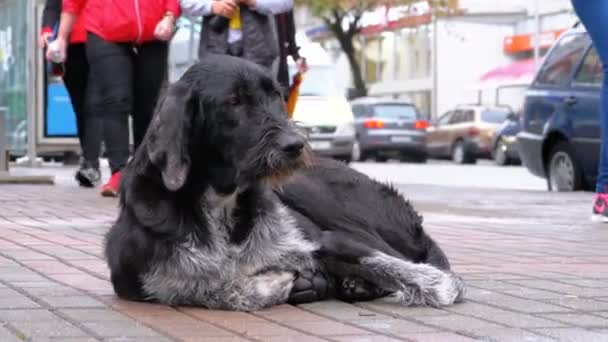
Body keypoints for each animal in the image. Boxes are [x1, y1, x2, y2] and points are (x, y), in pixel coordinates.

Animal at [104, 54, 466, 310]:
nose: (296, 145)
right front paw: (274, 283)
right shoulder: (136, 275)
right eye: (234, 102)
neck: (222, 206)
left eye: (276, 95)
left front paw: (439, 286)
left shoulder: (324, 239)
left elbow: (385, 262)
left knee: (399, 253)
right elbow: (209, 284)